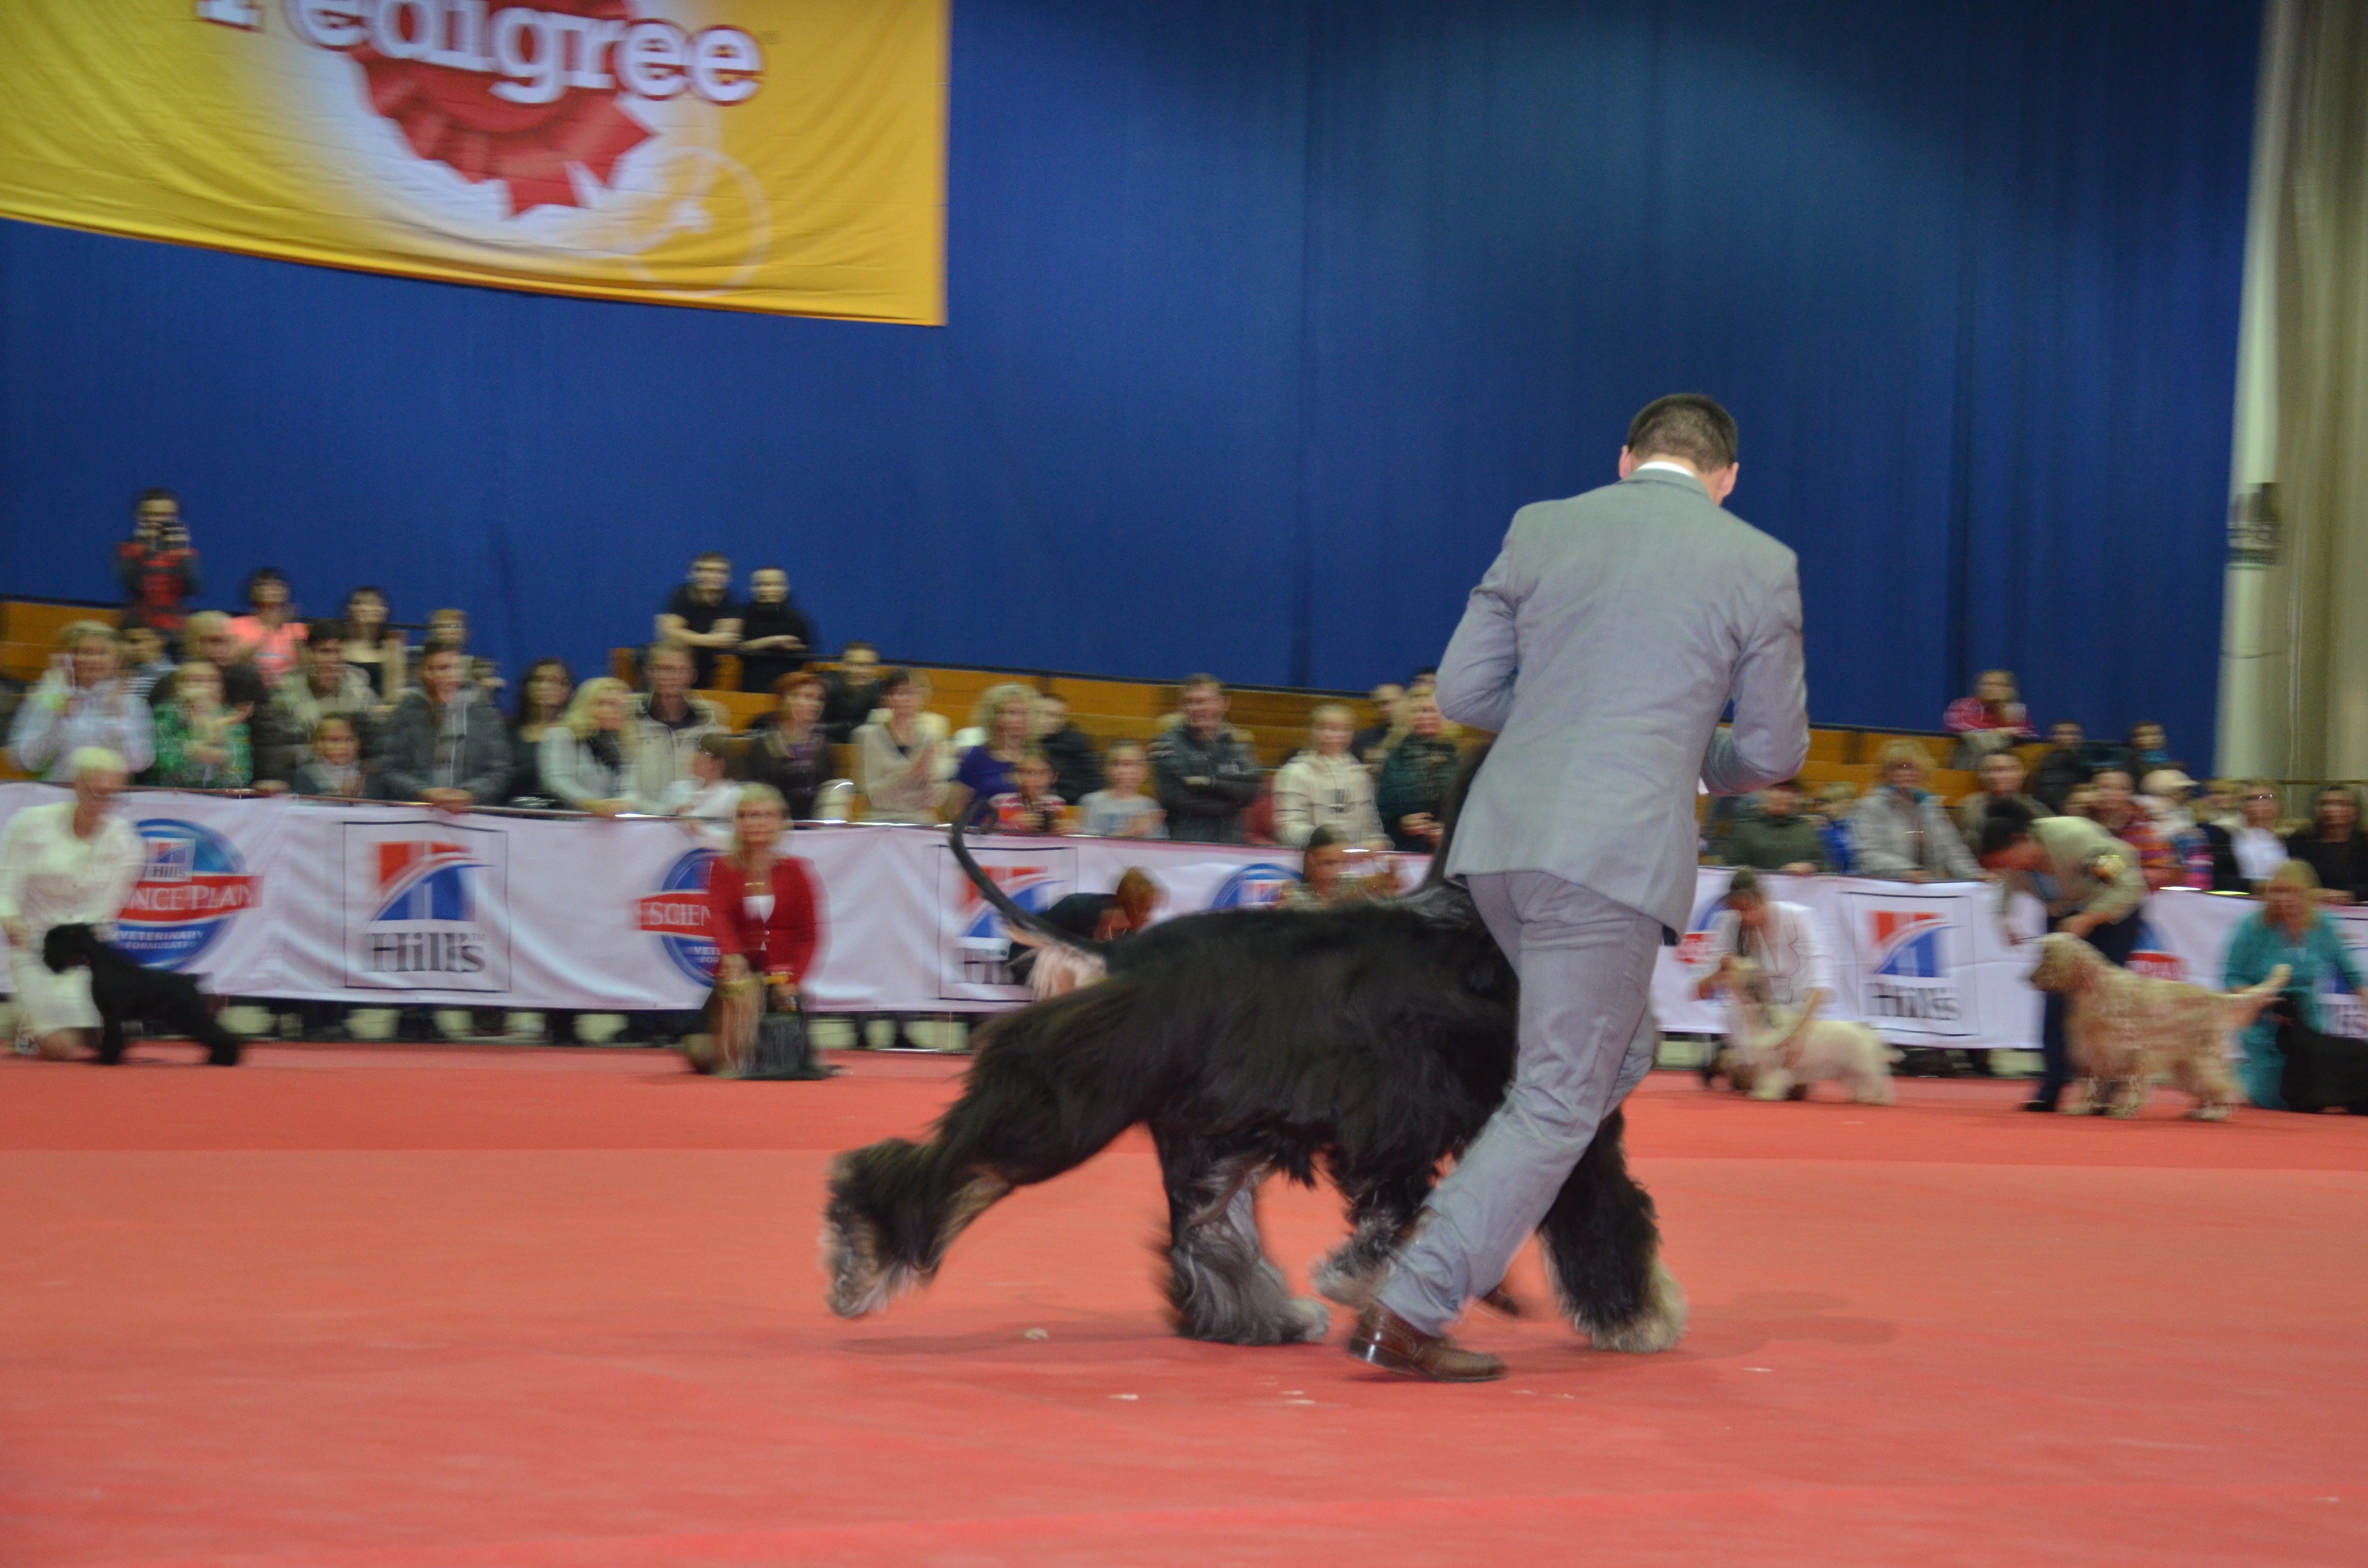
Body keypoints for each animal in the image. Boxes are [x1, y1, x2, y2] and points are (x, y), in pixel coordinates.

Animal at [41, 923, 243, 1067]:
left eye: (56, 939)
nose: (45, 955)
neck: (105, 964)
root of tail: (192, 980)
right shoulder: (109, 1016)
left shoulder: (112, 1015)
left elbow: (113, 1038)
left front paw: (107, 1060)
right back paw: (217, 1059)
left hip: (190, 1016)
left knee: (221, 1035)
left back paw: (227, 1060)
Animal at [822, 753, 1686, 1355]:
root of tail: (1122, 954)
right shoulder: (1558, 1120)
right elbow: (1605, 1214)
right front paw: (1641, 1317)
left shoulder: (1397, 1126)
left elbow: (1399, 1213)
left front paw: (1363, 1275)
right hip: (1069, 1104)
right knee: (952, 1166)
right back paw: (862, 1253)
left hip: (1209, 1133)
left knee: (1207, 1233)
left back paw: (1261, 1320)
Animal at [1705, 958, 1893, 1104]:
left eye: (1744, 965)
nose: (1726, 960)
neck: (1761, 1020)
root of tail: (1866, 1030)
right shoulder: (1763, 1065)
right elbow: (1764, 1079)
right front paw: (1760, 1092)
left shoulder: (1775, 1065)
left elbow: (1773, 1080)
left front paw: (1768, 1095)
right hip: (1850, 1069)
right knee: (1862, 1083)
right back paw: (1862, 1097)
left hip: (1864, 1066)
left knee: (1880, 1081)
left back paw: (1881, 1099)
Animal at [2024, 933, 2285, 1119]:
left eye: (2047, 956)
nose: (2029, 978)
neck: (2094, 988)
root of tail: (2216, 997)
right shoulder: (2095, 1054)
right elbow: (2091, 1087)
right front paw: (2083, 1109)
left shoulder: (2131, 1052)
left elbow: (2131, 1086)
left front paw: (2124, 1110)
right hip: (2187, 1067)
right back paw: (2201, 1111)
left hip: (2204, 1060)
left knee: (2225, 1087)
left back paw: (2215, 1113)